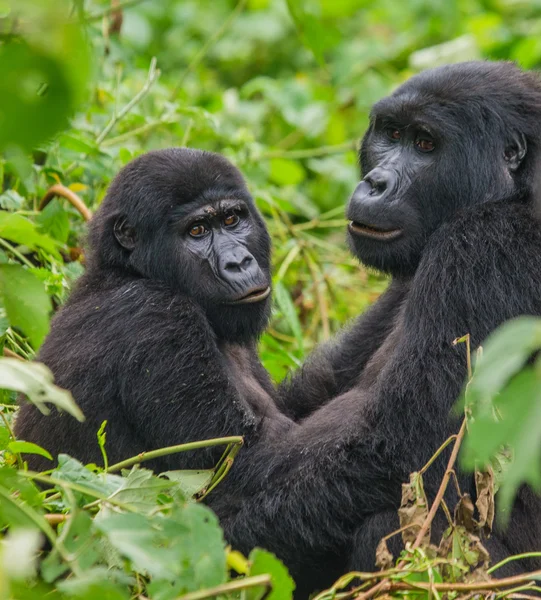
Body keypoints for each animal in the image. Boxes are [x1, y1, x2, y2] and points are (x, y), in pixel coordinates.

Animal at [15, 151, 292, 478]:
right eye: (197, 230)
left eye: (231, 219)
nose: (239, 262)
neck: (128, 271)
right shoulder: (158, 318)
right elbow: (243, 462)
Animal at [213, 62, 540, 592]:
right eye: (391, 134)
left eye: (426, 143)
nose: (375, 182)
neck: (521, 185)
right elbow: (319, 389)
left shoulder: (486, 247)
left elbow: (403, 450)